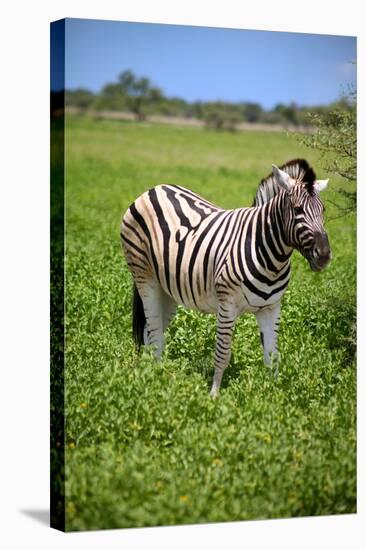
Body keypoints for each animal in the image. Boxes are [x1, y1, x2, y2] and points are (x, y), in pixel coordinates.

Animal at [121, 160, 332, 396]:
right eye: (297, 210)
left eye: (323, 210)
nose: (324, 255)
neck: (268, 254)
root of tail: (154, 189)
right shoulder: (227, 305)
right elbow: (222, 353)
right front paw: (214, 395)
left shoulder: (271, 308)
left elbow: (272, 357)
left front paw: (273, 395)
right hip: (144, 276)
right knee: (155, 333)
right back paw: (156, 380)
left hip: (167, 288)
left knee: (149, 333)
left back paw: (151, 374)